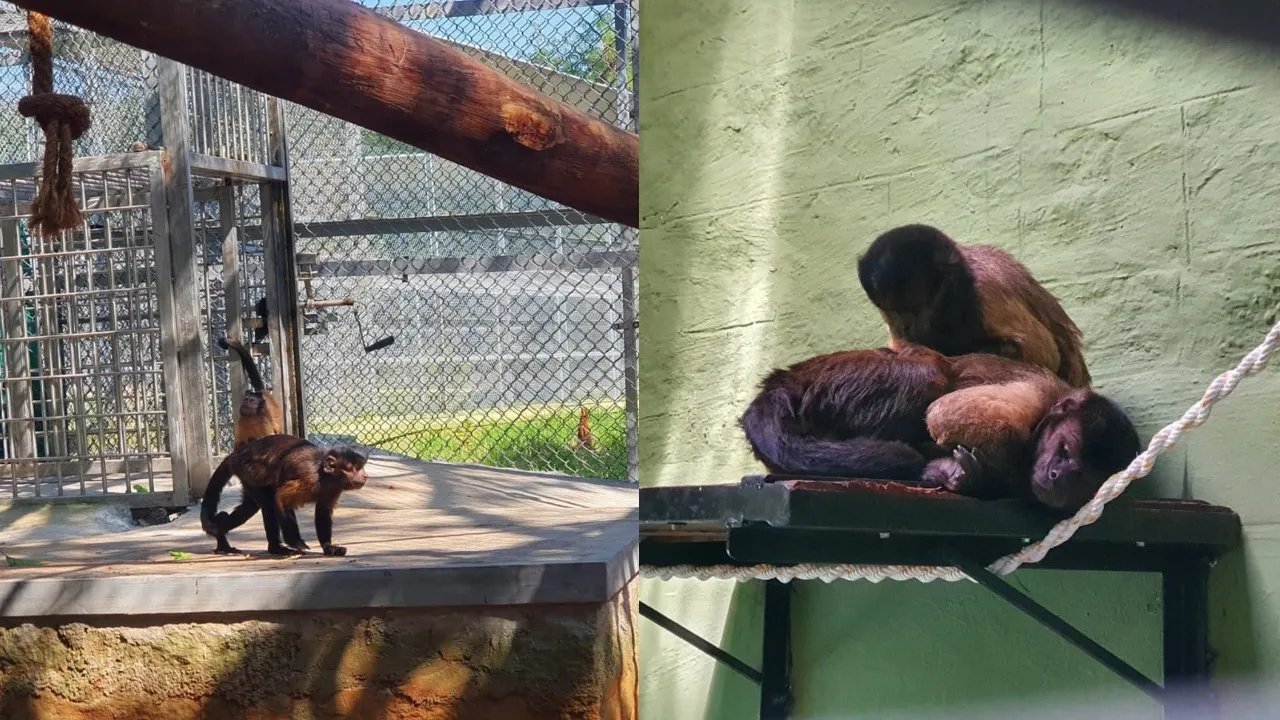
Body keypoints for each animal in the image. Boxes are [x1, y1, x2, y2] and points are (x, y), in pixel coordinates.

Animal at [201, 434, 368, 557]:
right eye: (356, 468)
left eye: (362, 467)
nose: (365, 475)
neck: (323, 474)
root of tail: (237, 453)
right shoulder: (308, 476)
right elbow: (281, 499)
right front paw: (296, 542)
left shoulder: (334, 487)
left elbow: (323, 510)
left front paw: (329, 547)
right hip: (246, 470)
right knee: (268, 502)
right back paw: (276, 548)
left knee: (250, 506)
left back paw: (221, 536)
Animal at [739, 344, 1140, 512]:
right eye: (1064, 450)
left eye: (1083, 479)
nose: (1058, 474)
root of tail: (784, 382)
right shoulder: (1035, 395)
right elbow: (945, 414)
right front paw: (988, 476)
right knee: (928, 373)